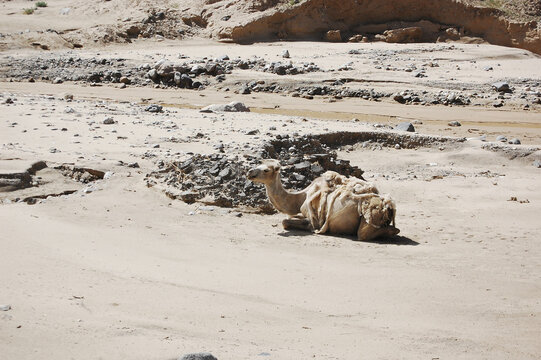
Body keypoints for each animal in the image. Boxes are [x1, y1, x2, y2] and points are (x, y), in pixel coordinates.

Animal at [247, 160, 398, 242]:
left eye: (266, 170)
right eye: (259, 164)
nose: (249, 172)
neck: (301, 197)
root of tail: (388, 205)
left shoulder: (313, 219)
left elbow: (286, 222)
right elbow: (287, 219)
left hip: (371, 216)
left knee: (366, 234)